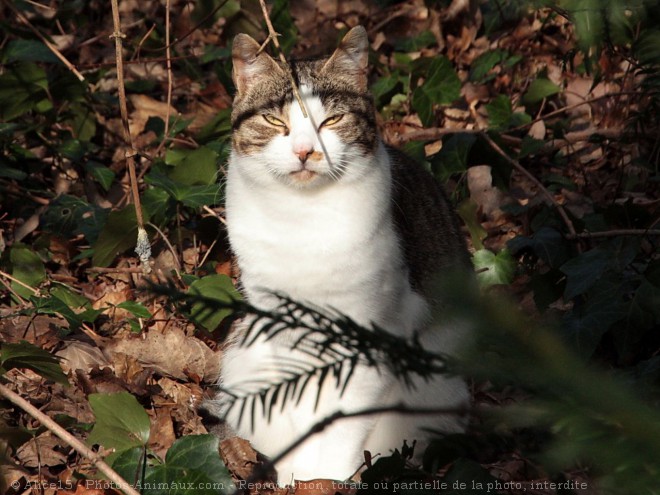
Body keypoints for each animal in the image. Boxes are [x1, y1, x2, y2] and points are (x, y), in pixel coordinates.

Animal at [214, 24, 472, 484]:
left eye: (331, 120)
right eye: (274, 120)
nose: (305, 151)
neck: (301, 219)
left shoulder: (377, 330)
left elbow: (345, 418)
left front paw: (329, 479)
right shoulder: (278, 325)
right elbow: (296, 403)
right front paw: (298, 476)